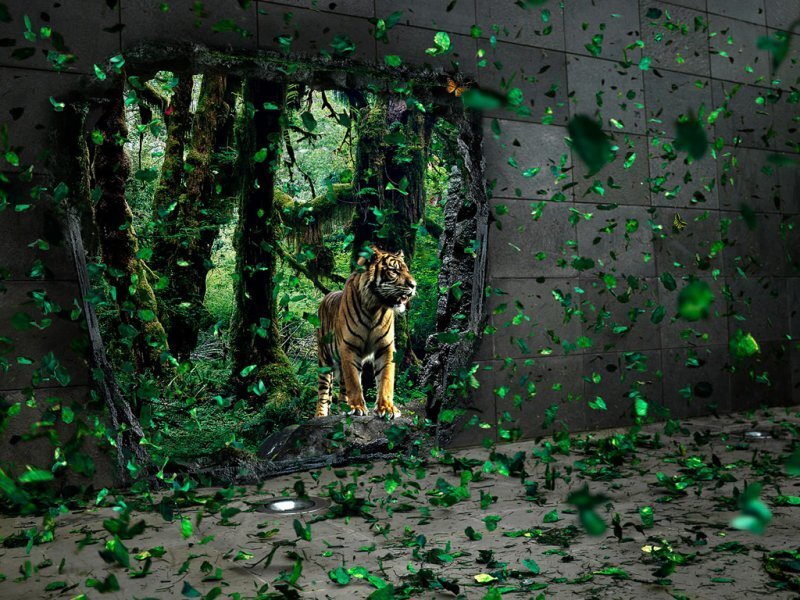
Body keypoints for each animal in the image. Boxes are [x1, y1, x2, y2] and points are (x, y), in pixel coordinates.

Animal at [315, 246, 417, 419]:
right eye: (394, 271)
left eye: (407, 271)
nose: (414, 285)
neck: (374, 307)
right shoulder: (349, 347)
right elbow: (354, 381)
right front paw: (357, 407)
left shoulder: (385, 347)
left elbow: (386, 378)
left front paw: (387, 408)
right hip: (324, 360)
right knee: (323, 393)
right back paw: (321, 415)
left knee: (342, 388)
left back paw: (343, 407)